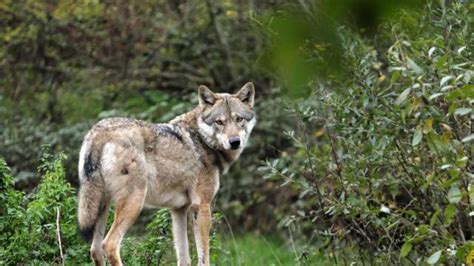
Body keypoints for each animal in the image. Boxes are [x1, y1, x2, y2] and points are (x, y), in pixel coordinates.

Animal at [77, 82, 256, 264]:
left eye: (239, 119)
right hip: (134, 203)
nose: (235, 142)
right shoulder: (202, 206)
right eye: (219, 122)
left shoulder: (179, 209)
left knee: (95, 250)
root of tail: (98, 133)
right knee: (109, 245)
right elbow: (204, 258)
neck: (202, 140)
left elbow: (184, 258)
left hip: (102, 207)